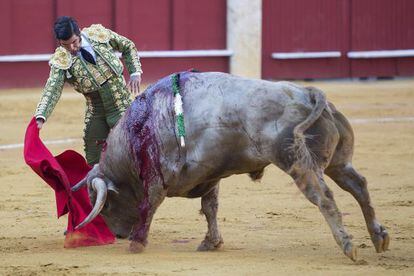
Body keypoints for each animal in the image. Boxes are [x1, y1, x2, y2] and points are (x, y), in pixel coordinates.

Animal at [72, 71, 388, 260]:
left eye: (105, 204)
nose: (117, 235)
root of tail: (306, 93)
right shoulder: (210, 176)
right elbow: (210, 208)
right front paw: (211, 243)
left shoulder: (156, 179)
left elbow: (148, 207)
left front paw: (136, 244)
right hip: (338, 162)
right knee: (359, 186)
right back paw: (379, 238)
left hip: (297, 162)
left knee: (324, 198)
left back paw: (348, 246)